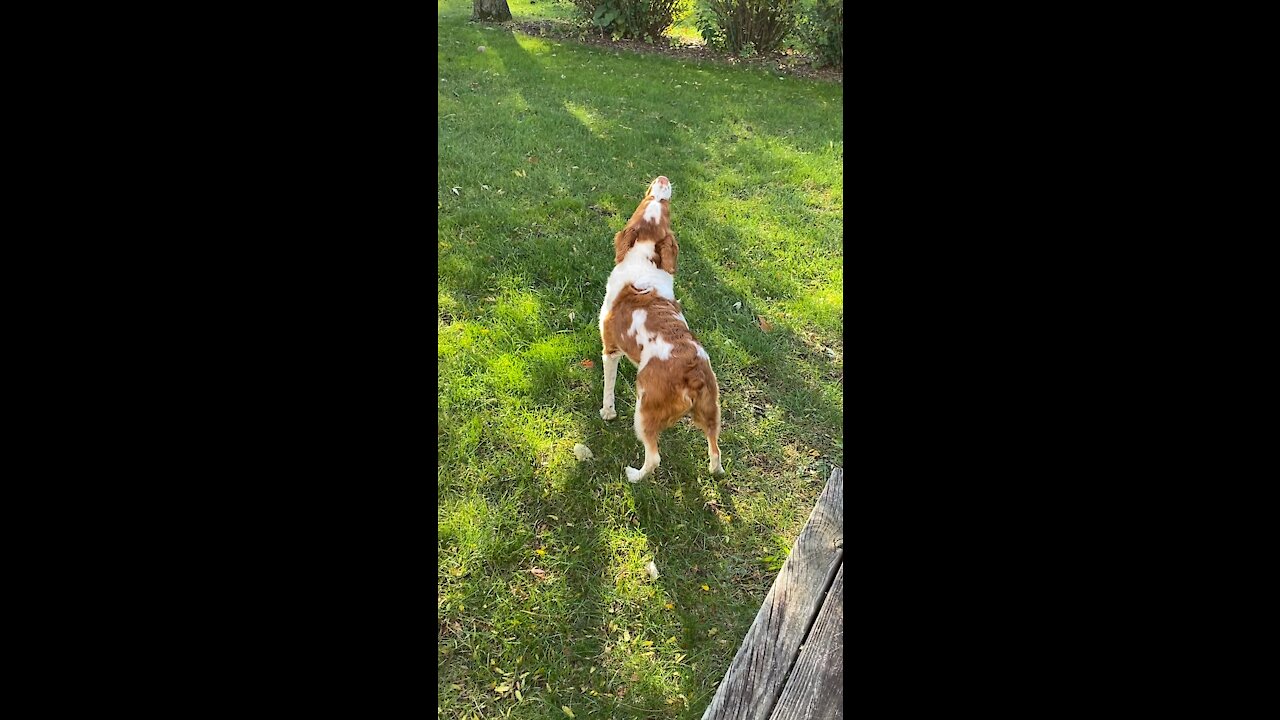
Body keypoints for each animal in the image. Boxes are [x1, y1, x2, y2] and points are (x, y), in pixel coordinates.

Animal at [596, 176, 727, 481]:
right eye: (656, 202)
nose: (663, 180)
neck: (643, 259)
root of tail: (693, 374)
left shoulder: (611, 349)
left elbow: (609, 386)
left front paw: (607, 413)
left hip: (644, 411)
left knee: (654, 457)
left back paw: (634, 475)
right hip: (711, 410)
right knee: (715, 450)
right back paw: (715, 470)